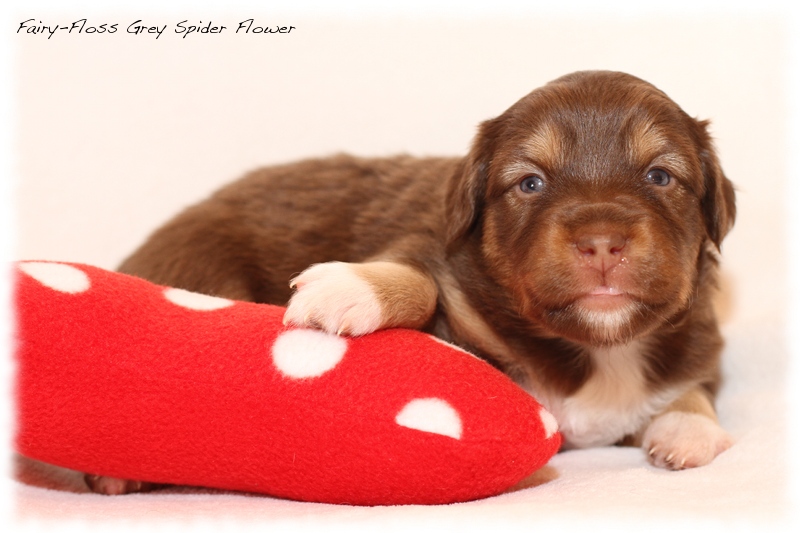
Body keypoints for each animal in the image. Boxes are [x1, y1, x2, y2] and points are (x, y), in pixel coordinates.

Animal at [89, 71, 736, 494]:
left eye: (660, 176)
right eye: (530, 183)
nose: (601, 243)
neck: (597, 348)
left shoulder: (700, 340)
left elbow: (695, 385)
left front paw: (687, 427)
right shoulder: (433, 249)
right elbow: (415, 274)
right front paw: (350, 288)